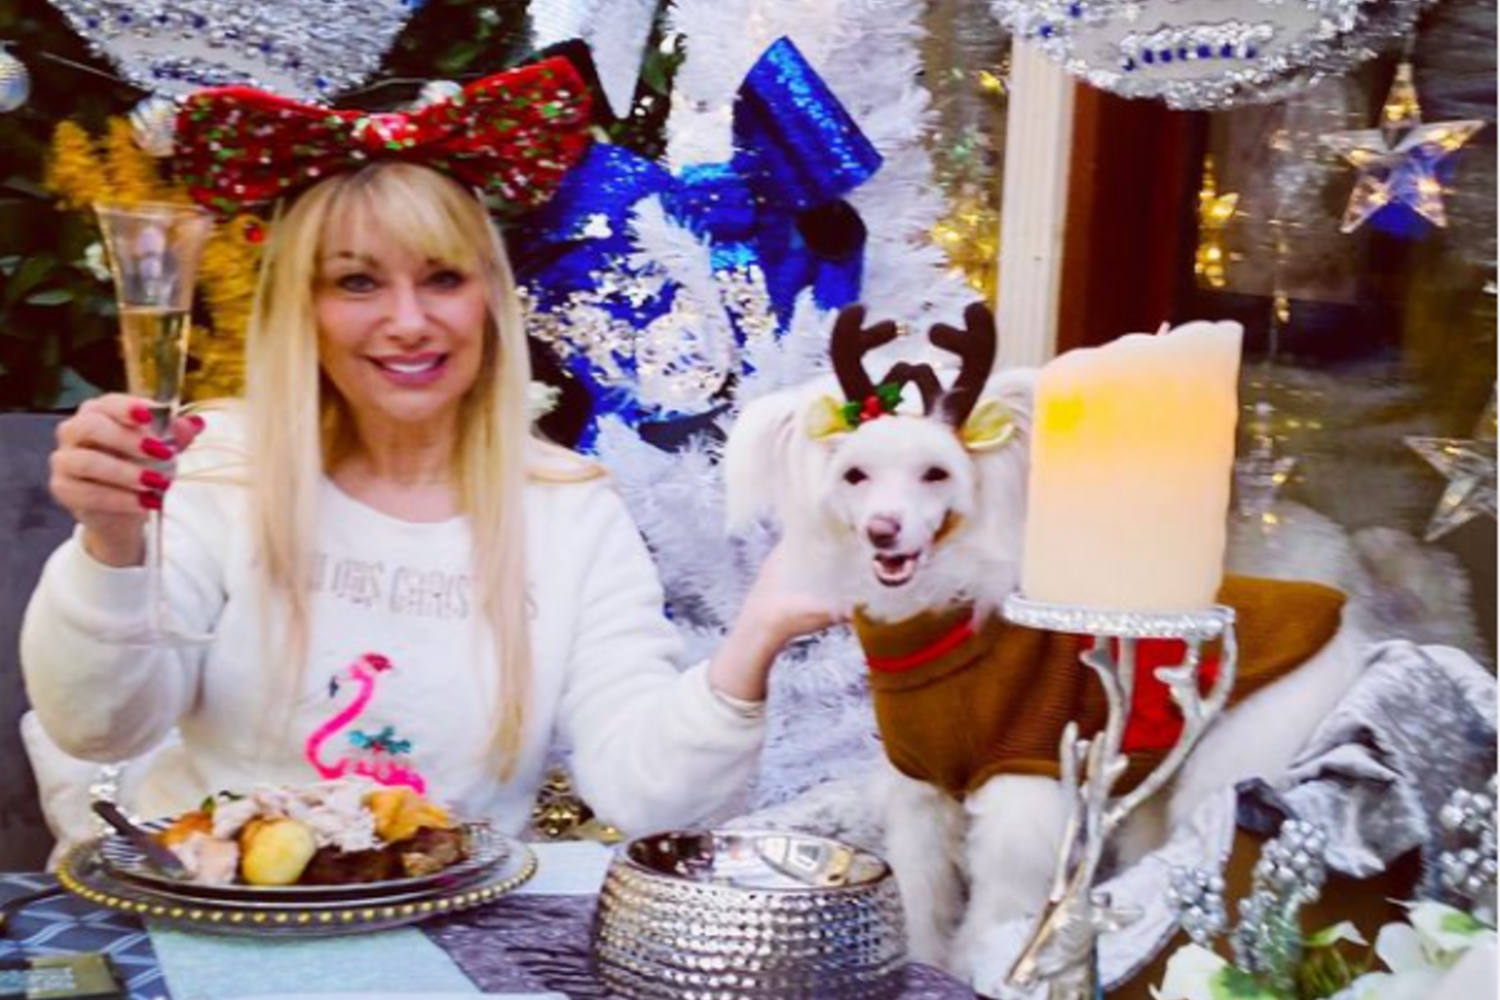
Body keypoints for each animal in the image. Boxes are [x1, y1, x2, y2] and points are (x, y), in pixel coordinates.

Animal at [724, 303, 1365, 978]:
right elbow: (919, 893)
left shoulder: (1019, 801)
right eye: (855, 475)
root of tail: (1345, 622)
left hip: (1230, 764)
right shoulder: (922, 797)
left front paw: (976, 969)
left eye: (936, 473)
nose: (883, 530)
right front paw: (922, 957)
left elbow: (996, 915)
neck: (940, 629)